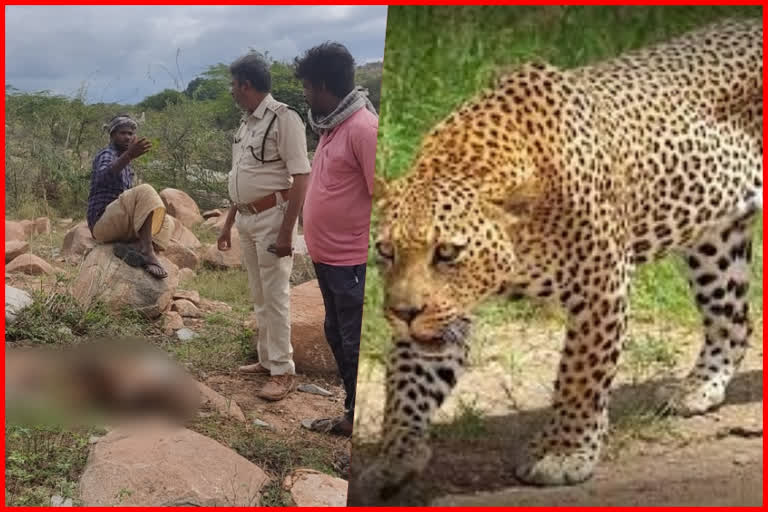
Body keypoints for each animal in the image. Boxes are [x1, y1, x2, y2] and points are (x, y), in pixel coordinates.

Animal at [354, 19, 760, 500]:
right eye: (386, 250)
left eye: (447, 252)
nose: (403, 313)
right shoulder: (447, 311)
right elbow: (407, 380)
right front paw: (394, 456)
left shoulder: (603, 282)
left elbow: (581, 374)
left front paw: (563, 452)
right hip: (713, 240)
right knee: (734, 322)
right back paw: (697, 388)